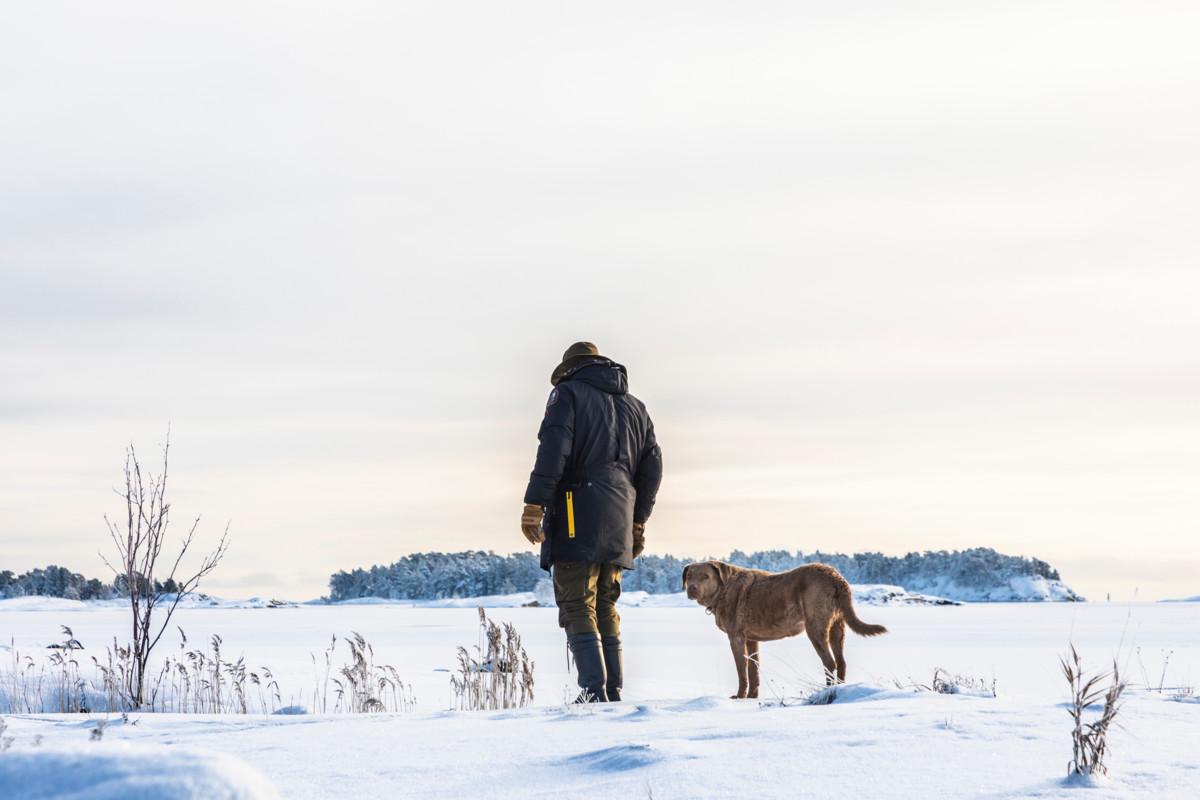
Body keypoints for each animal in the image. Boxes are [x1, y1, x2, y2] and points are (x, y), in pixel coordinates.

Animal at [686, 561, 883, 695]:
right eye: (688, 577)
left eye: (705, 576)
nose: (691, 588)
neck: (723, 590)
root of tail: (836, 577)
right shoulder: (751, 639)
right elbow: (753, 671)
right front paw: (751, 697)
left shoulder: (736, 637)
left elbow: (742, 671)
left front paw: (740, 696)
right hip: (838, 627)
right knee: (841, 662)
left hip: (815, 628)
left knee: (829, 663)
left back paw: (826, 692)